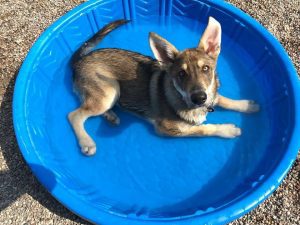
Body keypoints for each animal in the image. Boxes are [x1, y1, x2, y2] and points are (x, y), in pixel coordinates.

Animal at [68, 17, 258, 156]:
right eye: (181, 74)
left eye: (206, 69)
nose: (199, 98)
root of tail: (80, 61)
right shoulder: (167, 129)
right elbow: (203, 129)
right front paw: (227, 129)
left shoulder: (210, 95)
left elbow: (222, 99)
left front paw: (247, 105)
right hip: (111, 91)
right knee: (74, 115)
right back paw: (86, 142)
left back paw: (111, 116)